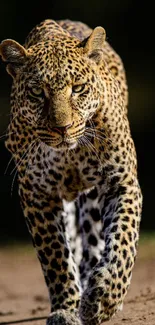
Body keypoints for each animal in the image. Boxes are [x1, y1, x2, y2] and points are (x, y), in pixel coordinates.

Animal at [0, 18, 143, 324]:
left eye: (77, 88)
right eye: (37, 92)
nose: (62, 128)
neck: (71, 153)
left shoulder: (121, 182)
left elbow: (123, 242)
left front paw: (104, 299)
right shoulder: (37, 193)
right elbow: (55, 256)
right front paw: (65, 309)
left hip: (92, 200)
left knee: (95, 240)